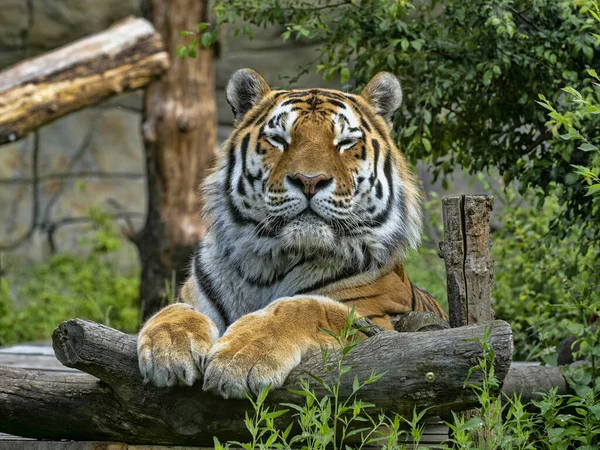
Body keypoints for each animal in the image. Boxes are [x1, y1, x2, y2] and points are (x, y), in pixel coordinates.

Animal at [136, 67, 446, 398]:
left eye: (345, 142)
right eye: (278, 140)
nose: (309, 180)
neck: (268, 264)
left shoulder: (379, 326)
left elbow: (306, 308)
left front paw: (241, 356)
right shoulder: (196, 296)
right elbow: (175, 309)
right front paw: (167, 346)